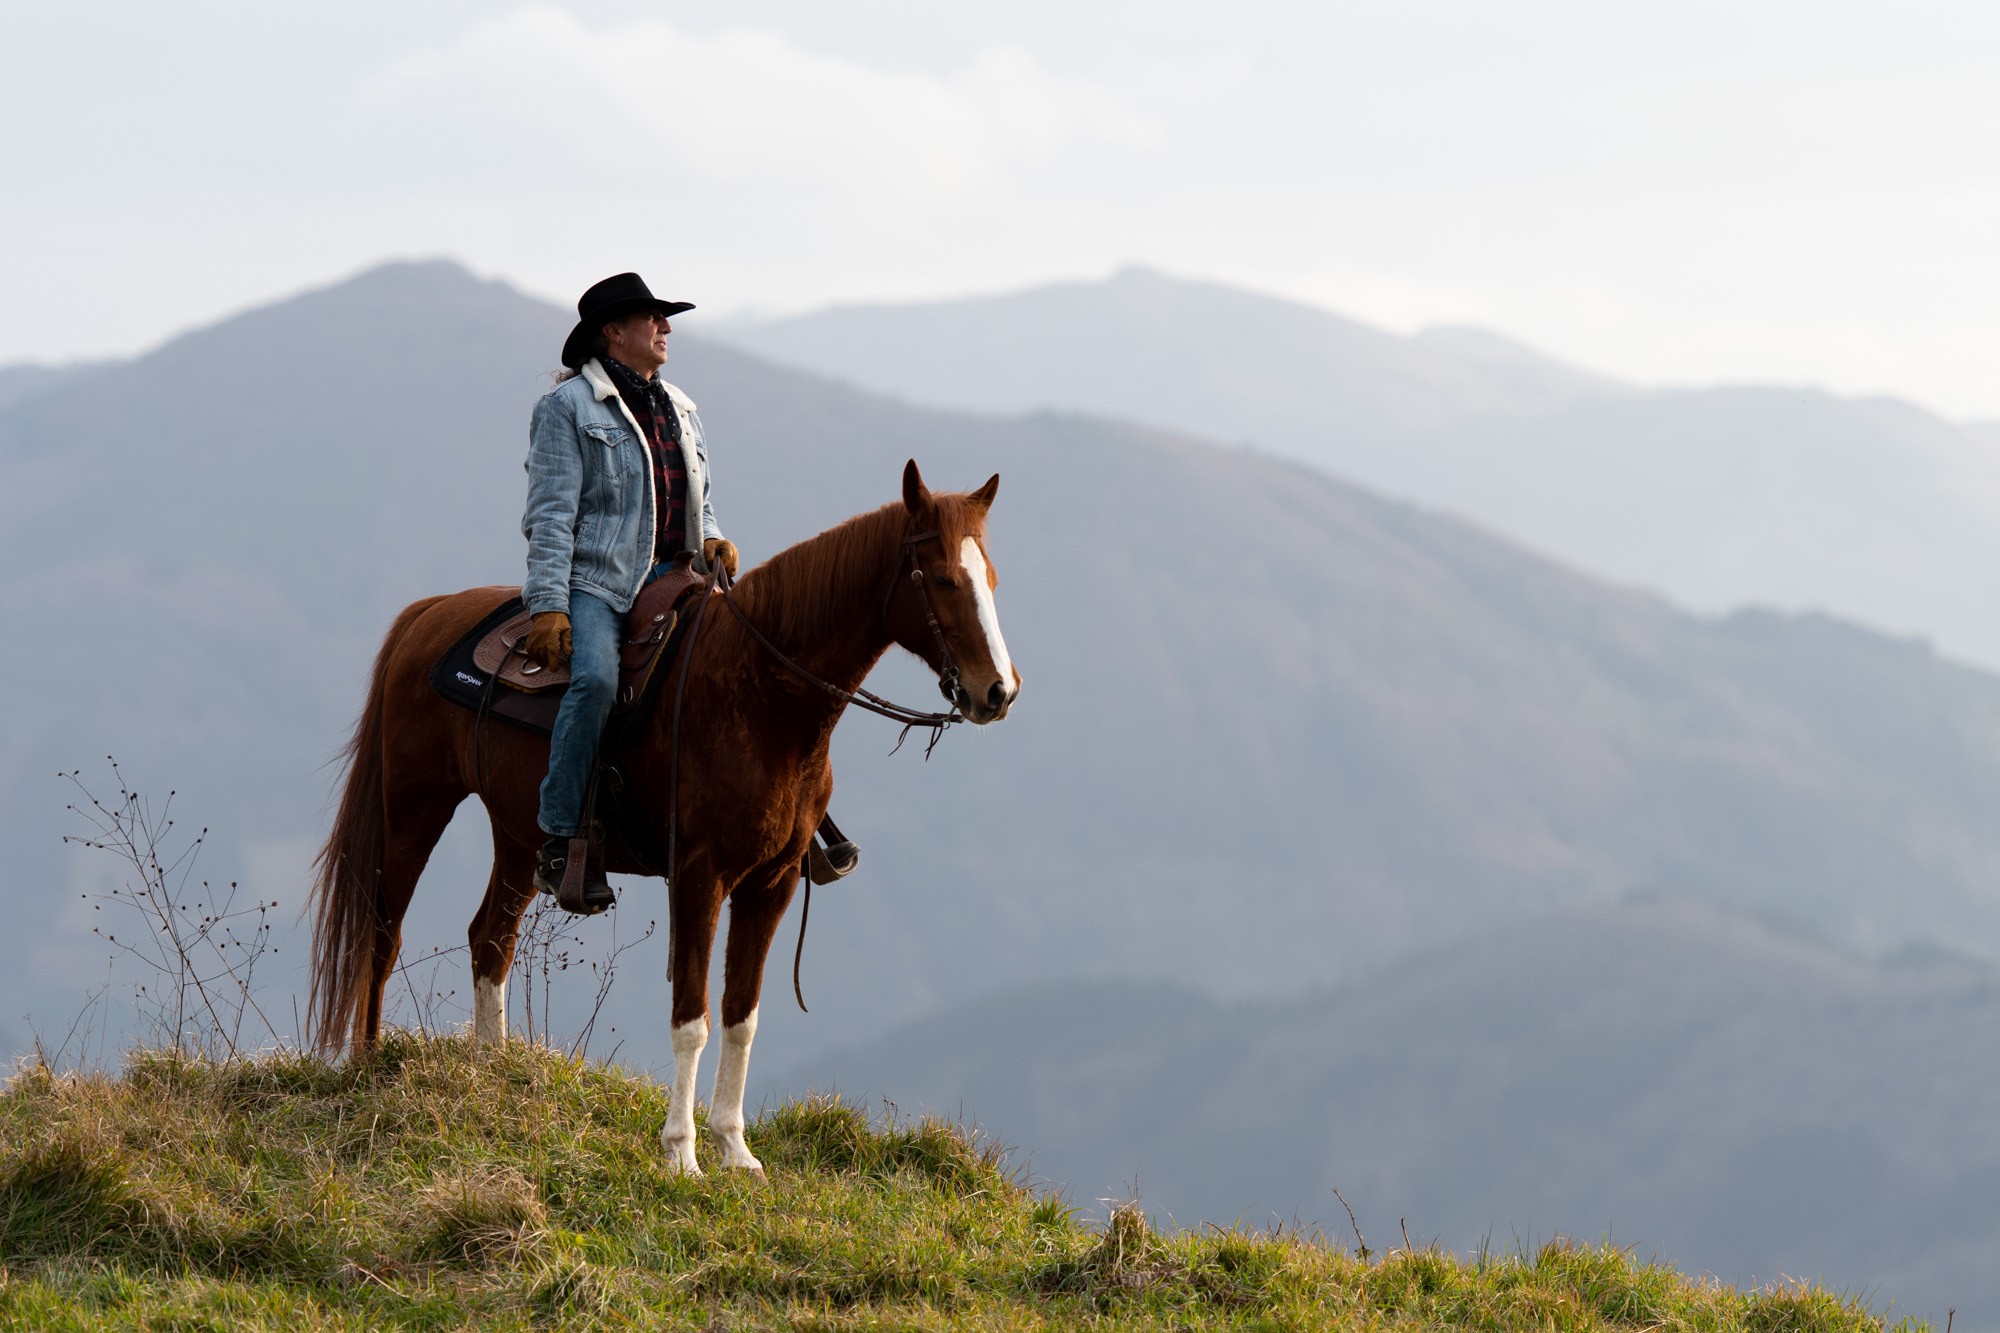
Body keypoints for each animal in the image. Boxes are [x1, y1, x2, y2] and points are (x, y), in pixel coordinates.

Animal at [307, 460, 1019, 1174]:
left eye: (990, 578)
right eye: (943, 579)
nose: (998, 691)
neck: (759, 695)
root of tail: (430, 613)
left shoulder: (773, 882)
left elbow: (740, 1015)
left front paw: (734, 1150)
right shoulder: (700, 876)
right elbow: (692, 1018)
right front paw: (681, 1154)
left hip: (517, 834)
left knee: (490, 940)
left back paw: (492, 1074)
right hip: (414, 809)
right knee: (382, 934)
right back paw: (369, 1064)